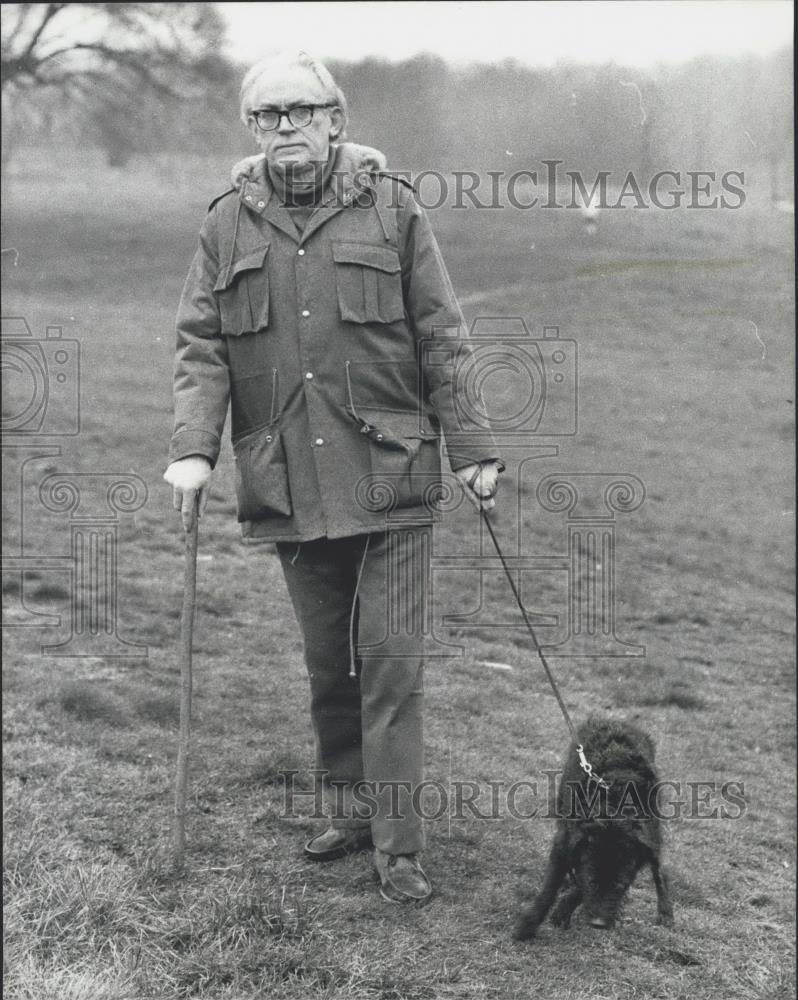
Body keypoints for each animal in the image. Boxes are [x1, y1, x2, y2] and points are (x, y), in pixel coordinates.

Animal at [520, 720, 676, 936]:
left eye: (620, 885)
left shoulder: (646, 839)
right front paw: (527, 926)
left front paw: (563, 911)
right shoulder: (567, 841)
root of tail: (616, 721)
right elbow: (551, 887)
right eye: (592, 882)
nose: (599, 924)